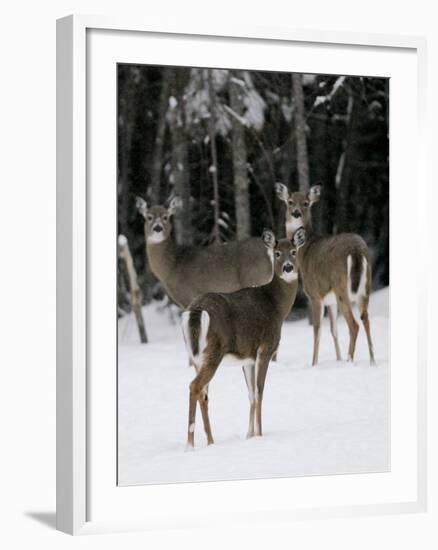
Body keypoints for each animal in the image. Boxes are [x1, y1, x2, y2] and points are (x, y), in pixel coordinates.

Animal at [135, 197, 276, 310]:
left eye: (165, 217)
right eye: (149, 217)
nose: (157, 228)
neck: (172, 265)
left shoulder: (188, 294)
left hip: (255, 278)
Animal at [180, 229, 306, 448]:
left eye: (293, 251)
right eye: (277, 254)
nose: (288, 268)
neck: (276, 306)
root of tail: (196, 310)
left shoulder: (248, 358)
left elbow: (251, 394)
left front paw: (249, 435)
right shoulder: (266, 348)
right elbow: (260, 391)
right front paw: (260, 435)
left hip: (195, 355)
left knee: (203, 393)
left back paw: (210, 441)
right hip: (214, 350)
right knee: (195, 386)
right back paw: (190, 445)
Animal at [276, 183, 374, 368]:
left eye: (306, 203)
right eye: (290, 202)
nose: (296, 213)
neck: (304, 252)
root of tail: (356, 250)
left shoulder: (314, 294)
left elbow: (317, 330)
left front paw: (314, 364)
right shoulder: (330, 300)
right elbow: (333, 330)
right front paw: (338, 358)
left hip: (342, 287)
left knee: (354, 324)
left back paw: (350, 361)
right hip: (364, 288)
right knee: (365, 319)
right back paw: (372, 361)